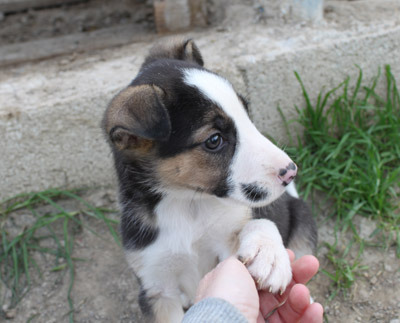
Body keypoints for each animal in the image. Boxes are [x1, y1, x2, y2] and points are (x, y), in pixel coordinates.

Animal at [101, 38, 318, 323]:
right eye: (214, 140)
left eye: (247, 115)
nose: (291, 171)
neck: (187, 203)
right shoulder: (156, 287)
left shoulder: (227, 244)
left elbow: (257, 222)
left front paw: (267, 253)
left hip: (302, 222)